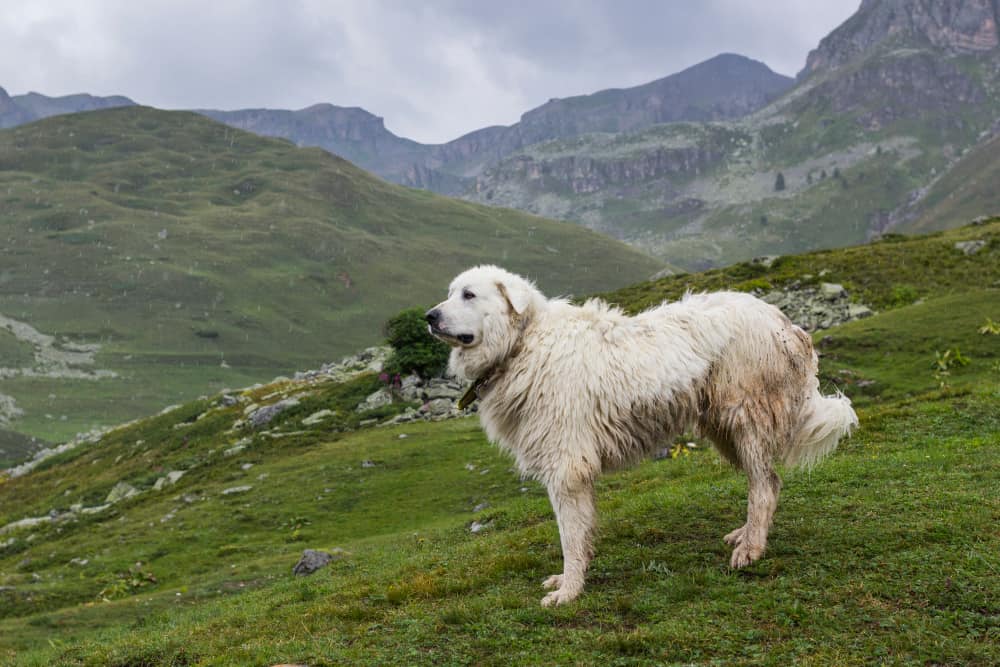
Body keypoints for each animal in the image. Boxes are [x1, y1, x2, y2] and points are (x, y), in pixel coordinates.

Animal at [426, 264, 856, 604]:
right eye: (449, 293)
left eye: (468, 294)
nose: (429, 316)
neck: (522, 345)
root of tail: (784, 322)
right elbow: (580, 532)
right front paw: (569, 580)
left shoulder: (566, 467)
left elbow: (570, 536)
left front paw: (569, 591)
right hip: (725, 429)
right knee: (767, 482)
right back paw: (746, 534)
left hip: (746, 419)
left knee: (765, 486)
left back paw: (751, 549)